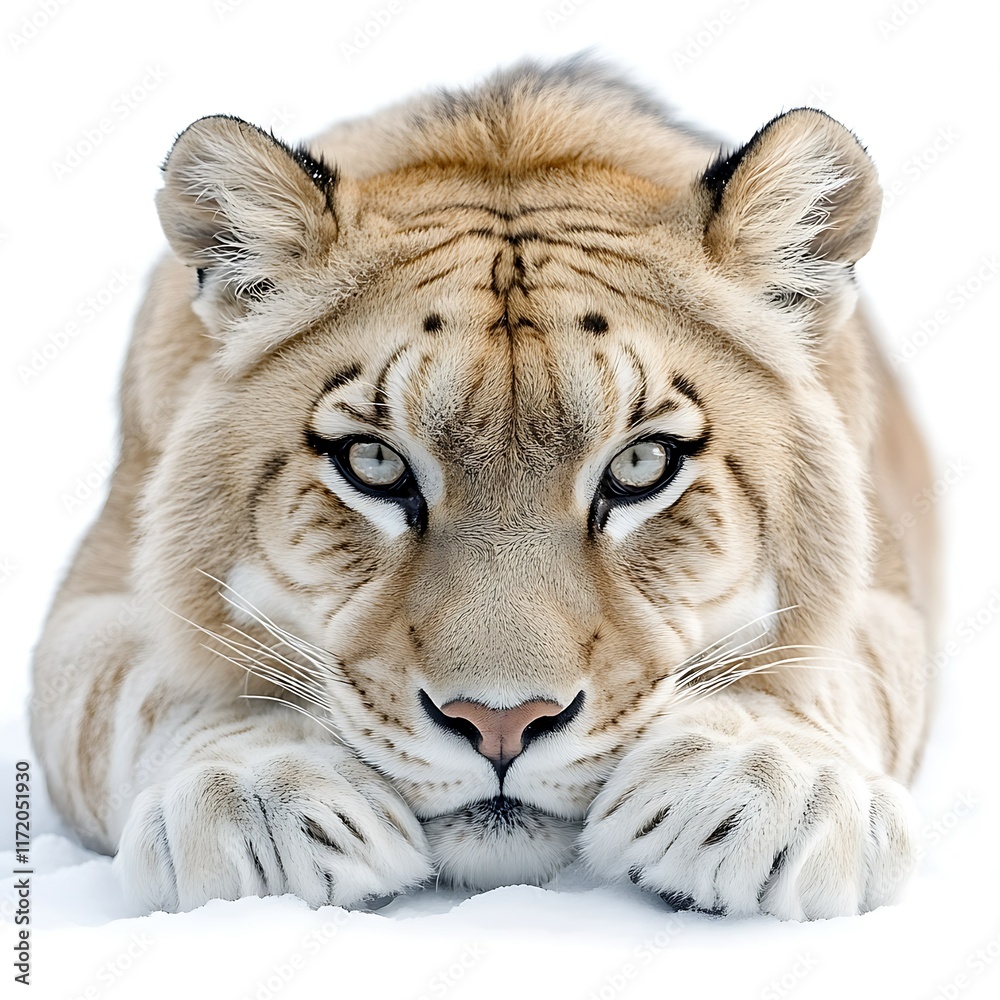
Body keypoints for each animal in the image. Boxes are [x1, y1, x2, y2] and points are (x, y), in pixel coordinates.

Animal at [30, 58, 937, 920]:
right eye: (374, 464)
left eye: (641, 466)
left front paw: (762, 782)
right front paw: (262, 802)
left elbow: (831, 675)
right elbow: (152, 689)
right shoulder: (96, 607)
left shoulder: (887, 603)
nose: (501, 724)